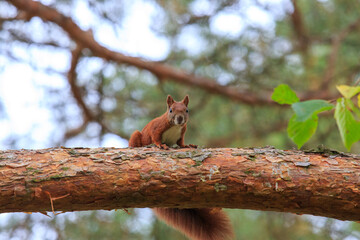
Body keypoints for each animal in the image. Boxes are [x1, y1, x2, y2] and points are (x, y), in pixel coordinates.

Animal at [129, 95, 233, 240]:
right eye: (171, 110)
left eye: (187, 110)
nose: (179, 119)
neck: (174, 127)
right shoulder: (157, 128)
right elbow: (155, 138)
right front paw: (160, 145)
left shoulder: (181, 133)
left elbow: (181, 143)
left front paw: (188, 145)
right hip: (136, 136)